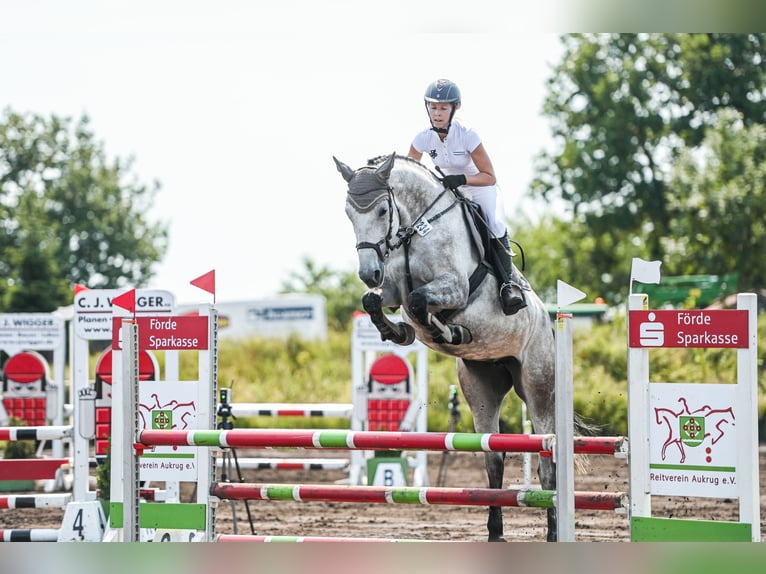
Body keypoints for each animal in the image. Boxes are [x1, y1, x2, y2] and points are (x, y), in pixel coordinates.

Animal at [336, 154, 560, 544]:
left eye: (382, 210)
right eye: (349, 213)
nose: (368, 272)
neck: (414, 230)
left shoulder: (454, 288)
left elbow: (418, 301)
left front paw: (445, 330)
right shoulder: (390, 289)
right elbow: (376, 301)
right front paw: (399, 331)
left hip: (537, 384)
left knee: (547, 462)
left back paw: (553, 532)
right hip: (481, 386)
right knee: (493, 457)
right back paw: (495, 532)